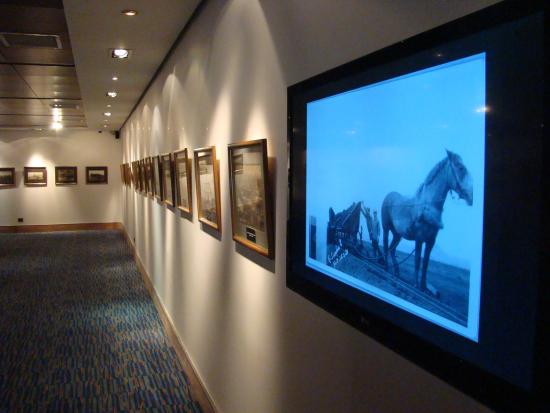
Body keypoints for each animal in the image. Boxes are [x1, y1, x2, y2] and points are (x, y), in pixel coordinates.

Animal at [384, 150, 474, 292]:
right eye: (461, 168)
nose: (471, 197)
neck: (429, 207)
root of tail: (389, 195)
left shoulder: (431, 241)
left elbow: (426, 263)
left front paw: (424, 286)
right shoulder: (419, 239)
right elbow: (417, 261)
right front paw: (416, 285)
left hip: (398, 235)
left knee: (392, 249)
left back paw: (396, 271)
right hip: (386, 228)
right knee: (385, 244)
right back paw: (385, 266)